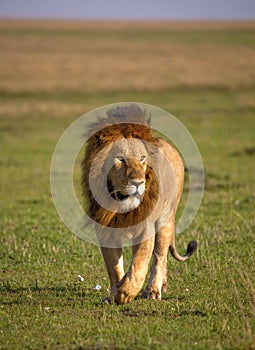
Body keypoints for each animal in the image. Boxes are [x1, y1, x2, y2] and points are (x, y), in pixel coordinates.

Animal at [81, 103, 197, 304]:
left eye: (142, 159)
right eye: (120, 159)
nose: (138, 183)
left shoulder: (145, 228)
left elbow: (139, 263)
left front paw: (126, 292)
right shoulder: (105, 230)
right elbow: (114, 267)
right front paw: (114, 293)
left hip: (165, 221)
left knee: (159, 256)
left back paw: (153, 290)